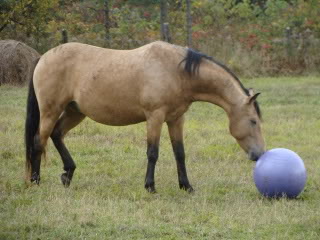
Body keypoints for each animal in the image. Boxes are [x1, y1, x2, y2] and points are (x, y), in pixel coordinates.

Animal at [25, 40, 264, 192]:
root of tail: (42, 57)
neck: (177, 71)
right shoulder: (155, 117)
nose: (259, 154)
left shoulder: (176, 119)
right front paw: (150, 186)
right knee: (39, 141)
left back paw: (67, 174)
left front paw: (186, 186)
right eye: (253, 121)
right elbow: (153, 153)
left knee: (56, 135)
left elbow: (180, 153)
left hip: (75, 112)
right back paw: (35, 181)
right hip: (50, 110)